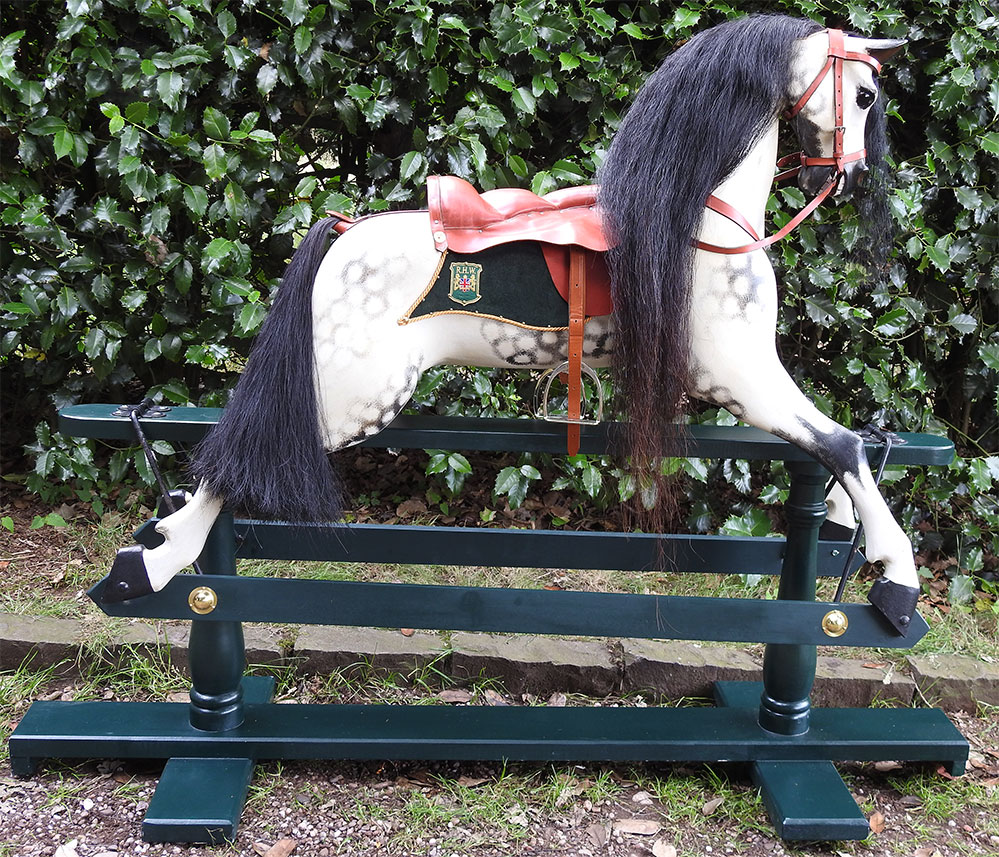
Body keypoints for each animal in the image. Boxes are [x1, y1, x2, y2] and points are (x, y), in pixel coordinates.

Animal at [105, 15, 916, 633]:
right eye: (864, 93)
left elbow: (839, 455)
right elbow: (843, 444)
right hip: (350, 396)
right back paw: (145, 567)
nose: (844, 175)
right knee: (232, 464)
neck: (699, 221)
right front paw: (896, 577)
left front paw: (844, 520)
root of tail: (341, 233)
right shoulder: (738, 375)